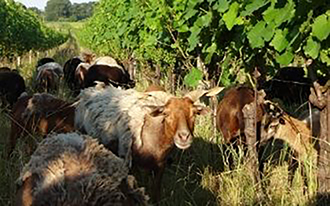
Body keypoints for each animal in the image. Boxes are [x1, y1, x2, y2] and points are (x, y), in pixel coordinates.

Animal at [75, 84, 222, 202]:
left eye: (194, 113)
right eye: (166, 114)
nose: (184, 137)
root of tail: (88, 91)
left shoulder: (160, 167)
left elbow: (156, 193)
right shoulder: (132, 166)